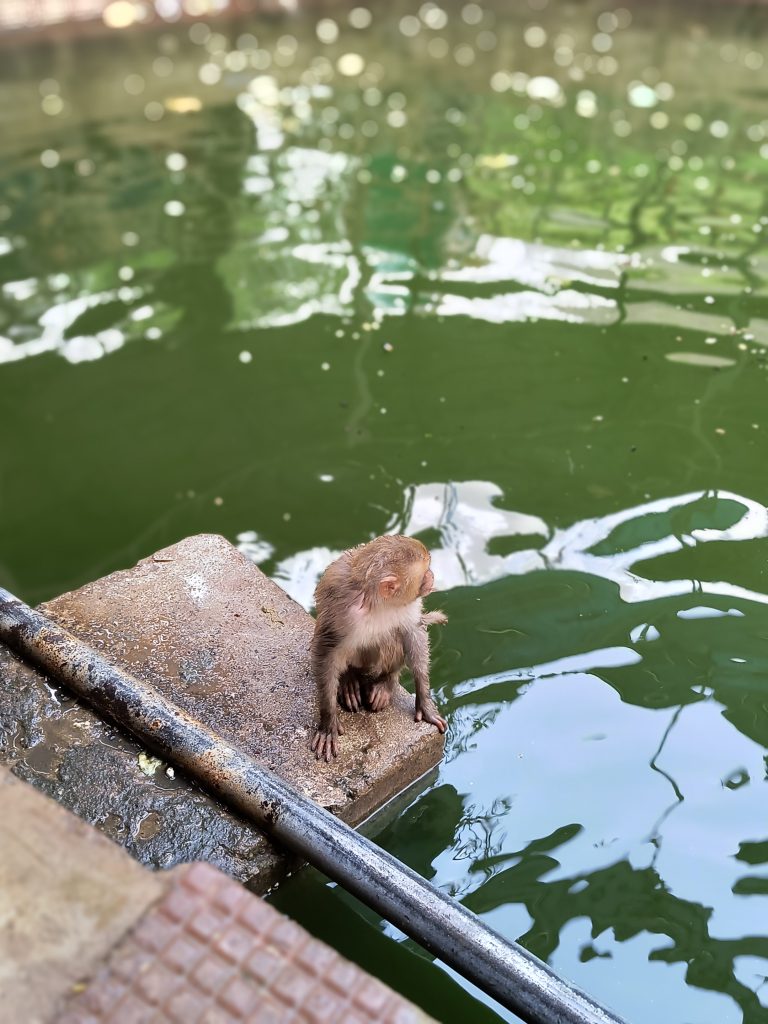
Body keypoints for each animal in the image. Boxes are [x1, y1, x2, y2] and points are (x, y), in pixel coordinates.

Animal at [311, 536, 448, 761]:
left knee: (392, 637)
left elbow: (414, 632)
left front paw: (425, 702)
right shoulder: (340, 613)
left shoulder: (408, 605)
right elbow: (327, 652)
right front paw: (328, 722)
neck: (378, 603)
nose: (432, 576)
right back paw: (349, 680)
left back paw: (386, 681)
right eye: (424, 572)